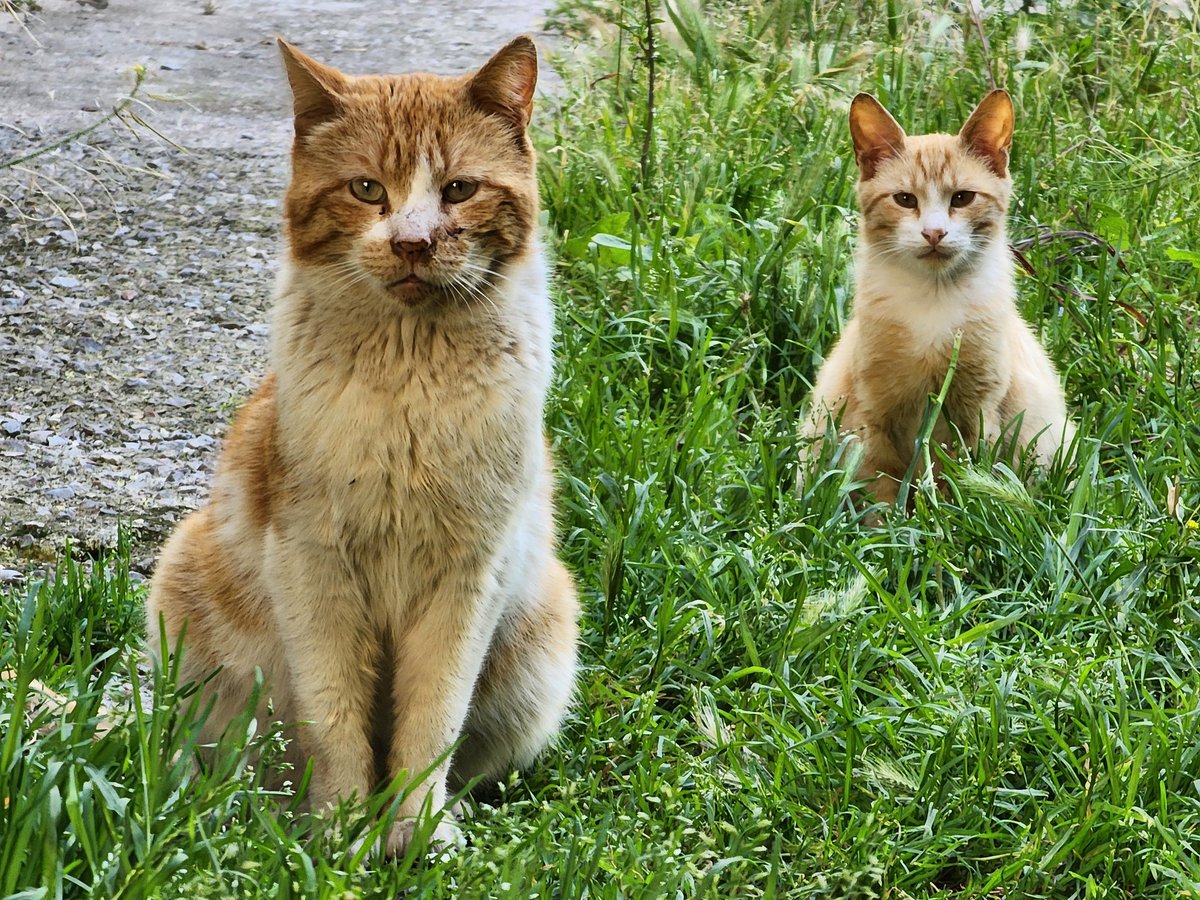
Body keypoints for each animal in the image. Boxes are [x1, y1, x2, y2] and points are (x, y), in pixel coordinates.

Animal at [147, 35, 578, 854]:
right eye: (367, 188)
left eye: (459, 189)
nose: (412, 242)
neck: (407, 384)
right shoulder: (315, 568)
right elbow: (335, 719)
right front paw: (342, 833)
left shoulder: (466, 578)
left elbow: (431, 719)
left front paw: (418, 833)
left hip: (545, 633)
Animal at [801, 91, 1075, 508]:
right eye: (904, 199)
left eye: (962, 198)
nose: (934, 233)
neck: (933, 302)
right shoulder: (873, 415)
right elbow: (881, 489)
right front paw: (891, 522)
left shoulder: (976, 415)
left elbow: (957, 480)